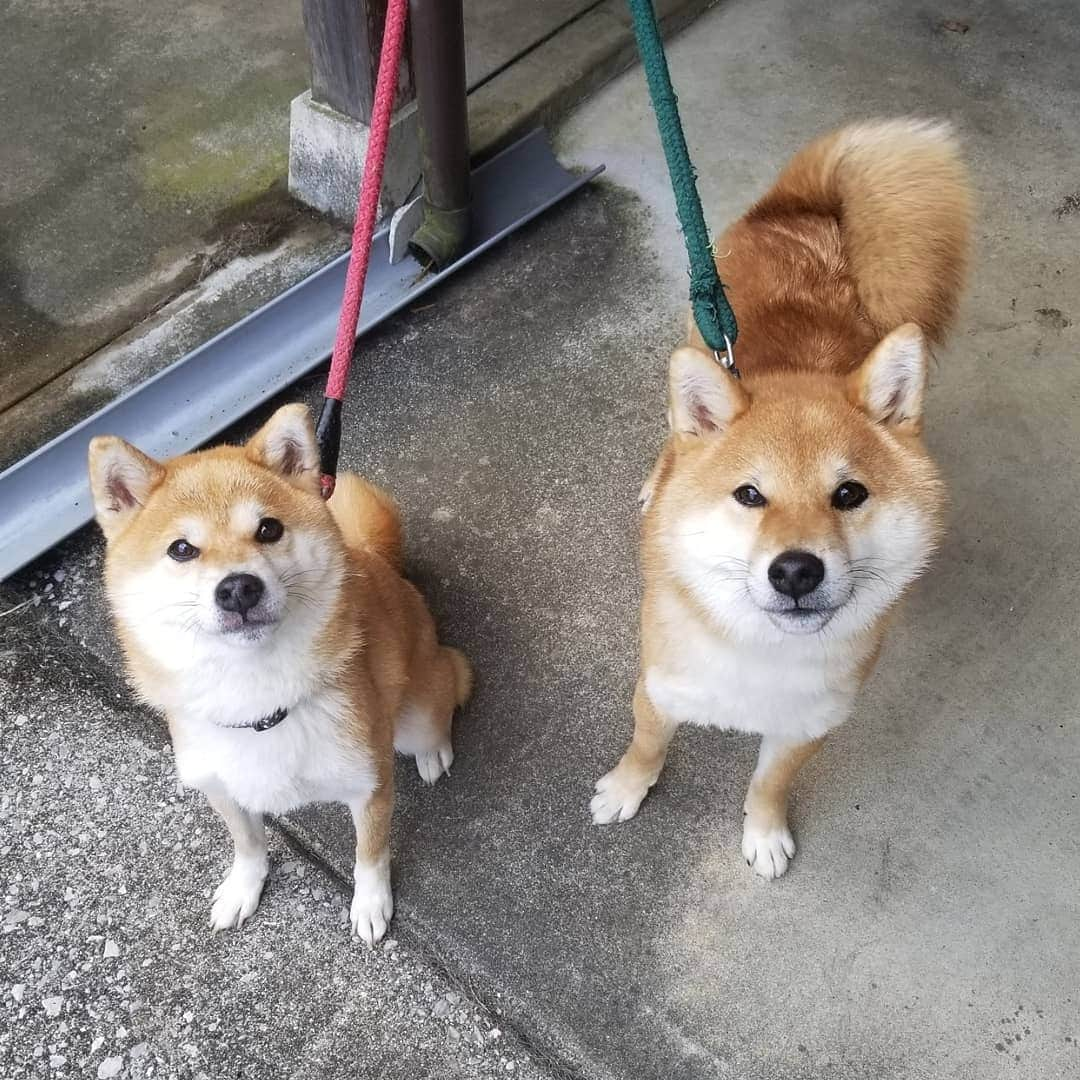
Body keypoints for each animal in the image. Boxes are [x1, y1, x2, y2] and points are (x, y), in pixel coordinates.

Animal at [87, 401, 468, 941]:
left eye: (268, 529)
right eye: (181, 548)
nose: (237, 588)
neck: (258, 701)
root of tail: (376, 558)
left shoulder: (369, 784)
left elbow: (369, 854)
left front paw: (371, 903)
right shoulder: (221, 785)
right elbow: (248, 844)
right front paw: (243, 887)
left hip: (417, 710)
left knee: (449, 689)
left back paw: (434, 751)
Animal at [591, 120, 972, 876]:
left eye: (850, 493)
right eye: (749, 495)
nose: (796, 570)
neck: (760, 652)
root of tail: (804, 211)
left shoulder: (807, 726)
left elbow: (769, 784)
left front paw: (763, 834)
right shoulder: (660, 687)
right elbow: (646, 747)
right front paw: (625, 789)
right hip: (695, 350)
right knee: (673, 435)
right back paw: (658, 476)